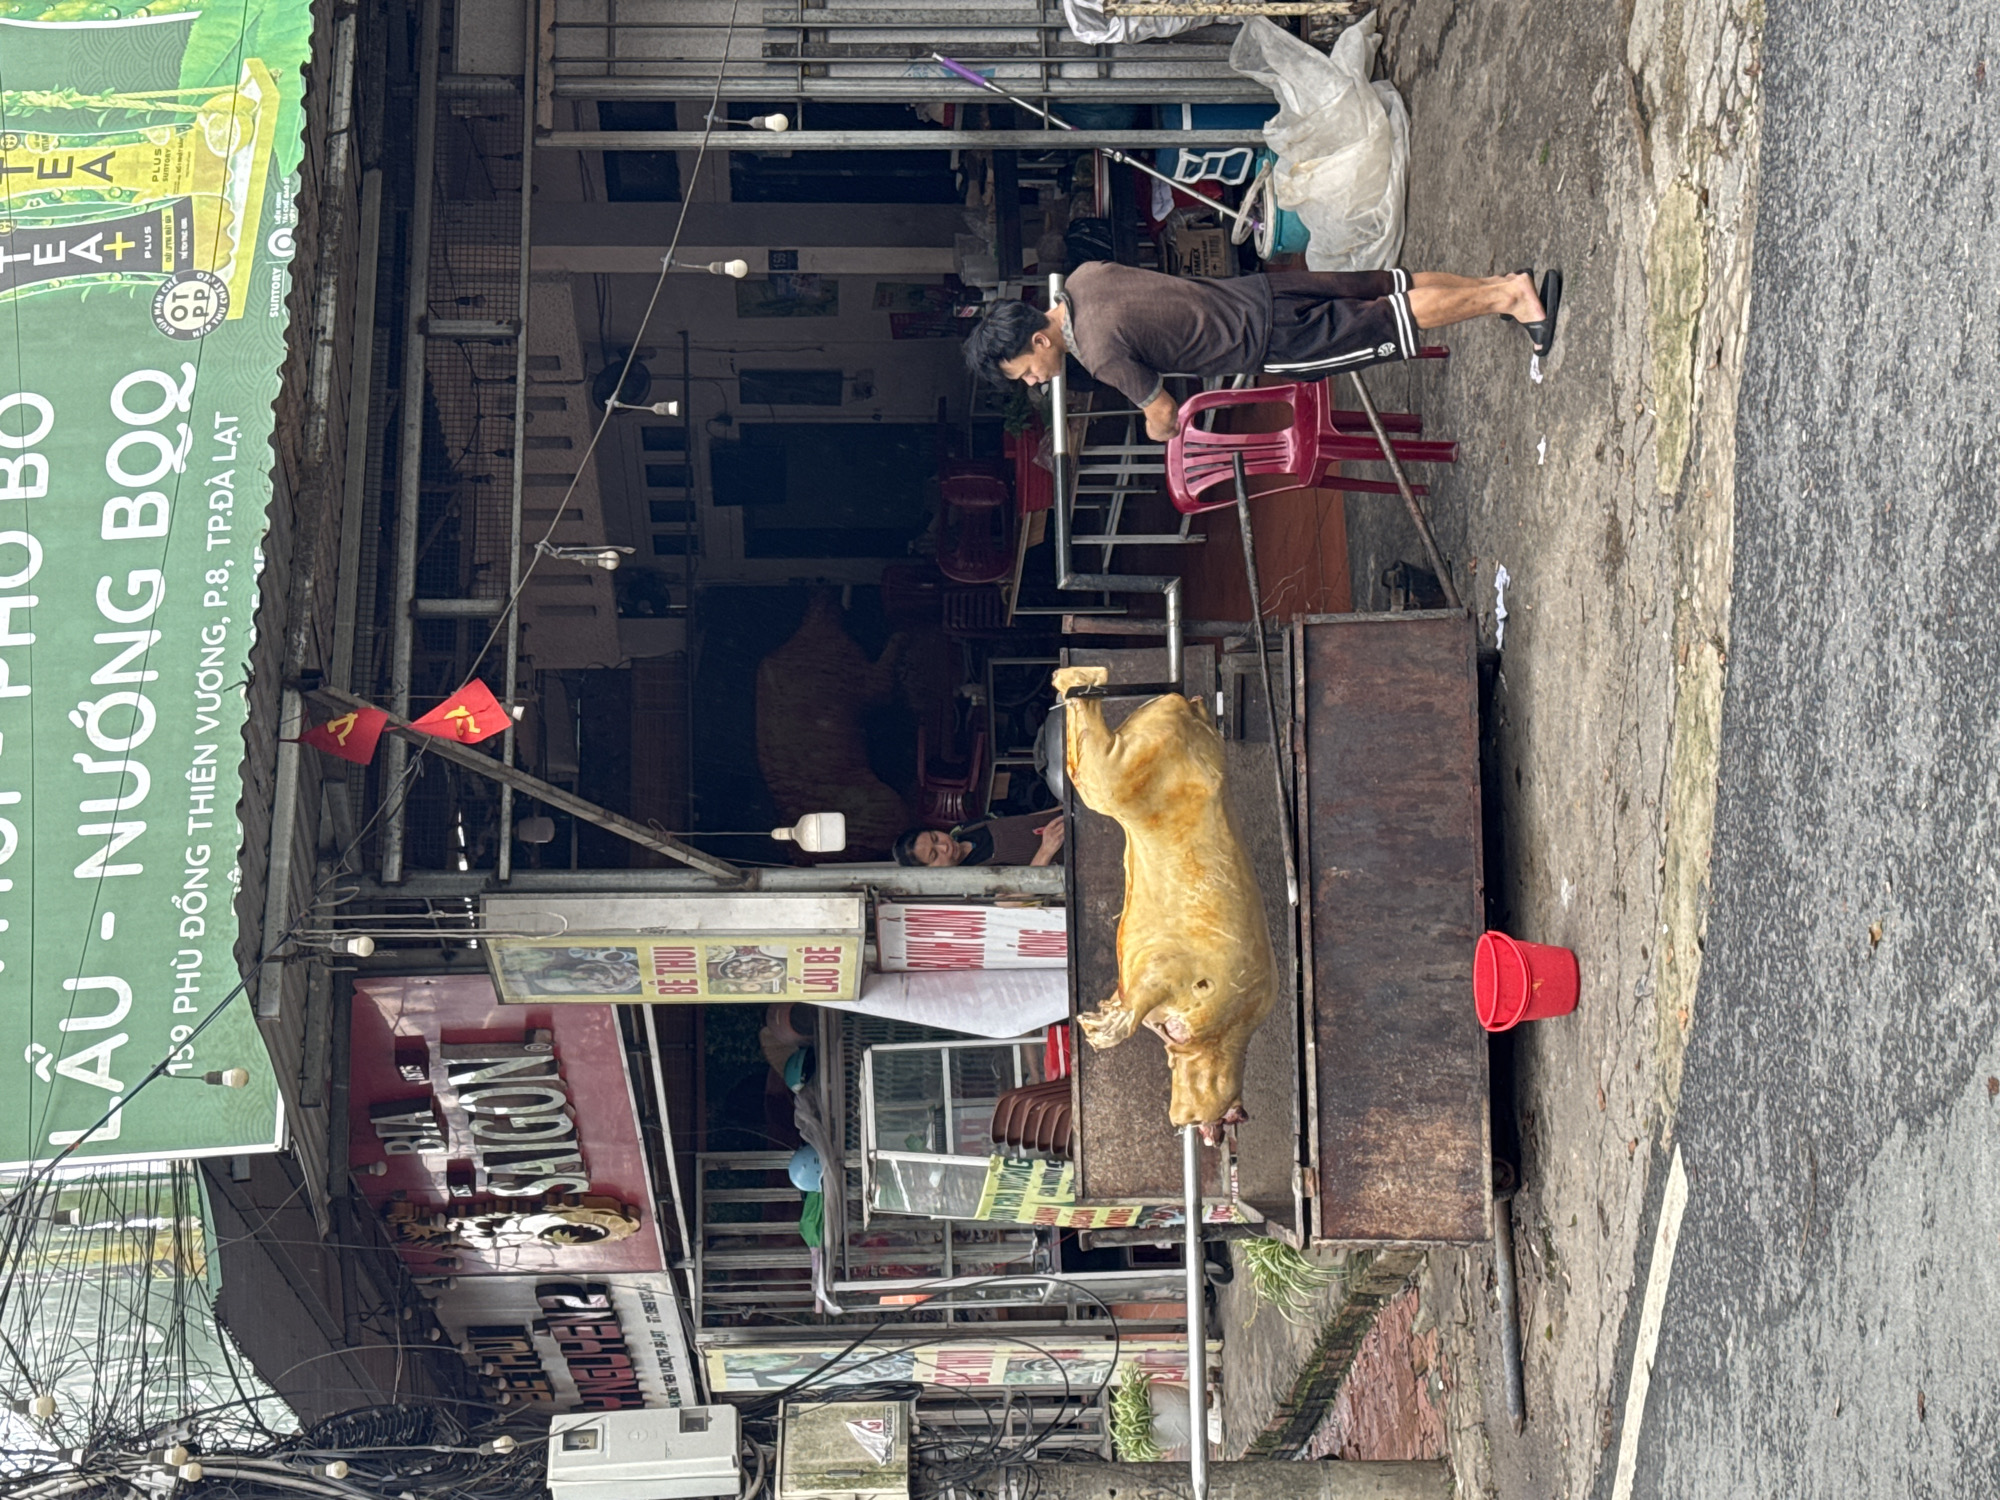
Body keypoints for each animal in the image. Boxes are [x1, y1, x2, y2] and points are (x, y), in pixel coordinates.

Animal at [1053, 664, 1278, 1142]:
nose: (1186, 1122)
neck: (1219, 1037)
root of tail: (1185, 708)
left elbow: (1132, 998)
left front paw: (1099, 1015)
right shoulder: (1179, 971)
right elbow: (1144, 992)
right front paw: (1097, 1028)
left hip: (1142, 751)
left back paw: (1070, 681)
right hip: (1135, 766)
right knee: (1095, 772)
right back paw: (1080, 679)